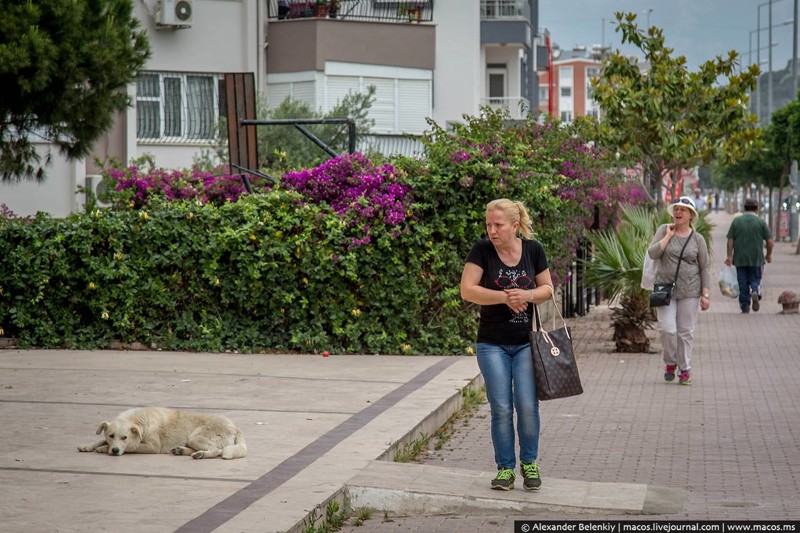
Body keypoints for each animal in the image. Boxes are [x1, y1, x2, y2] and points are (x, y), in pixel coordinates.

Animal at [79, 408, 247, 458]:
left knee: (217, 450)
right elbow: (101, 440)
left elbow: (132, 447)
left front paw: (103, 448)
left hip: (196, 436)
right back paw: (181, 450)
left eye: (124, 437)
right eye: (111, 435)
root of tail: (235, 427)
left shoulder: (153, 447)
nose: (114, 451)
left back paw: (201, 454)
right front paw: (88, 445)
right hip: (192, 439)